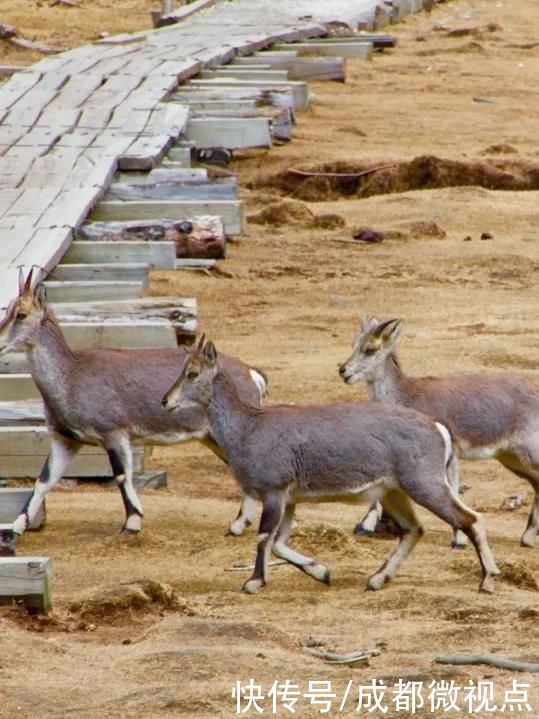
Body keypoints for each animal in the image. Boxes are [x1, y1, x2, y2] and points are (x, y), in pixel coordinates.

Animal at [0, 270, 266, 552]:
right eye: (9, 310)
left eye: (21, 314)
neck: (71, 376)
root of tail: (253, 375)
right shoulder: (66, 440)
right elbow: (44, 481)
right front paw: (14, 531)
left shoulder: (114, 433)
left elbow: (121, 476)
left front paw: (132, 523)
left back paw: (239, 524)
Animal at [162, 340, 500, 592]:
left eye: (192, 373)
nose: (166, 401)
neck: (248, 427)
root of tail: (438, 429)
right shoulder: (290, 499)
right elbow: (278, 543)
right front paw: (322, 572)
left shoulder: (274, 491)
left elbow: (263, 538)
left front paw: (254, 581)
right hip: (394, 491)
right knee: (414, 529)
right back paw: (377, 579)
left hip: (424, 483)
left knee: (470, 519)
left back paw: (487, 580)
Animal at [342, 314, 539, 544]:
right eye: (353, 344)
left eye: (370, 349)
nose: (343, 371)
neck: (407, 396)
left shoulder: (449, 453)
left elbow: (452, 489)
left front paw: (459, 540)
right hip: (510, 458)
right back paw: (527, 537)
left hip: (527, 452)